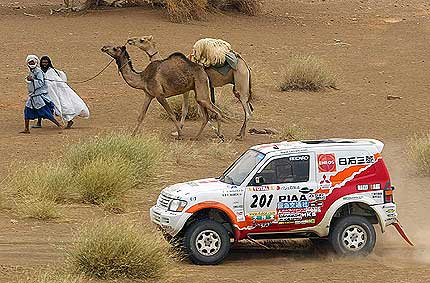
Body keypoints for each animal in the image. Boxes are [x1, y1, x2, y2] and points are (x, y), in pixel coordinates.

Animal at [126, 35, 254, 141]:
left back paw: (240, 136)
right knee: (247, 108)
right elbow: (194, 110)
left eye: (142, 40)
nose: (129, 40)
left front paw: (178, 132)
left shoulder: (187, 90)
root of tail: (246, 66)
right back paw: (239, 133)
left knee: (247, 111)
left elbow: (185, 109)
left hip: (241, 82)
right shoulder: (191, 89)